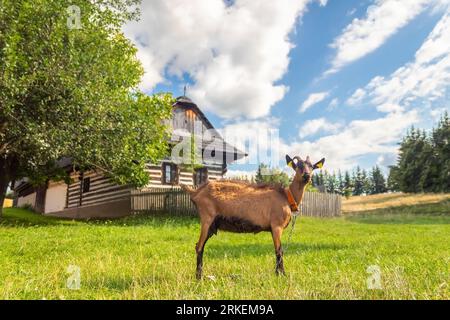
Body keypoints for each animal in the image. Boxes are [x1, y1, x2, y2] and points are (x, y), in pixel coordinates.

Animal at [181, 154, 326, 278]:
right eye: (298, 166)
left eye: (312, 166)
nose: (307, 175)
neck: (286, 196)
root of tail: (196, 192)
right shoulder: (276, 226)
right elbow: (279, 250)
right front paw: (282, 275)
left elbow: (278, 250)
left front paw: (278, 273)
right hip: (207, 218)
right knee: (199, 247)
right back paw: (199, 277)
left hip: (212, 226)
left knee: (200, 246)